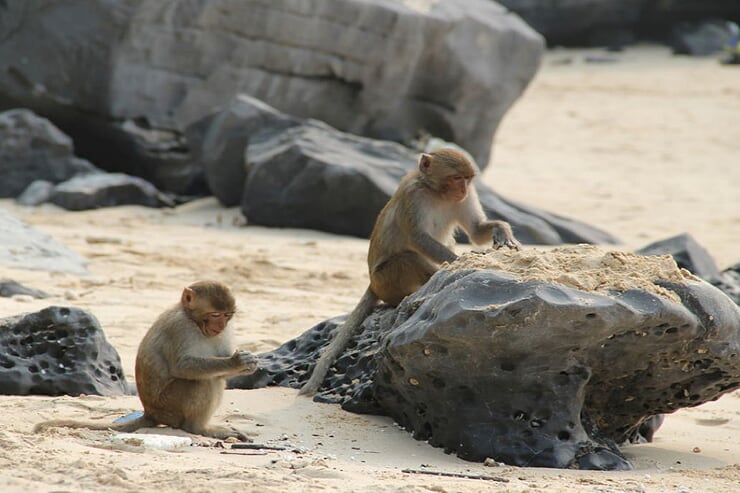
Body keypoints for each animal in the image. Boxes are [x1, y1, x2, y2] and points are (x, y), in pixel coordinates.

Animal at [34, 281, 258, 441]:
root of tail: (150, 413)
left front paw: (248, 363)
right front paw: (236, 362)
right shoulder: (179, 327)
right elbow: (183, 367)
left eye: (227, 316)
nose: (220, 326)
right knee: (203, 381)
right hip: (169, 406)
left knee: (215, 378)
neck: (193, 320)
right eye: (215, 314)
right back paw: (198, 428)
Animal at [299, 148, 520, 395]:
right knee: (407, 258)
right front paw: (462, 262)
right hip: (385, 281)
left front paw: (502, 232)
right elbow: (418, 239)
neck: (436, 193)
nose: (463, 190)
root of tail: (372, 284)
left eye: (466, 179)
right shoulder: (413, 196)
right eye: (456, 178)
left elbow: (476, 231)